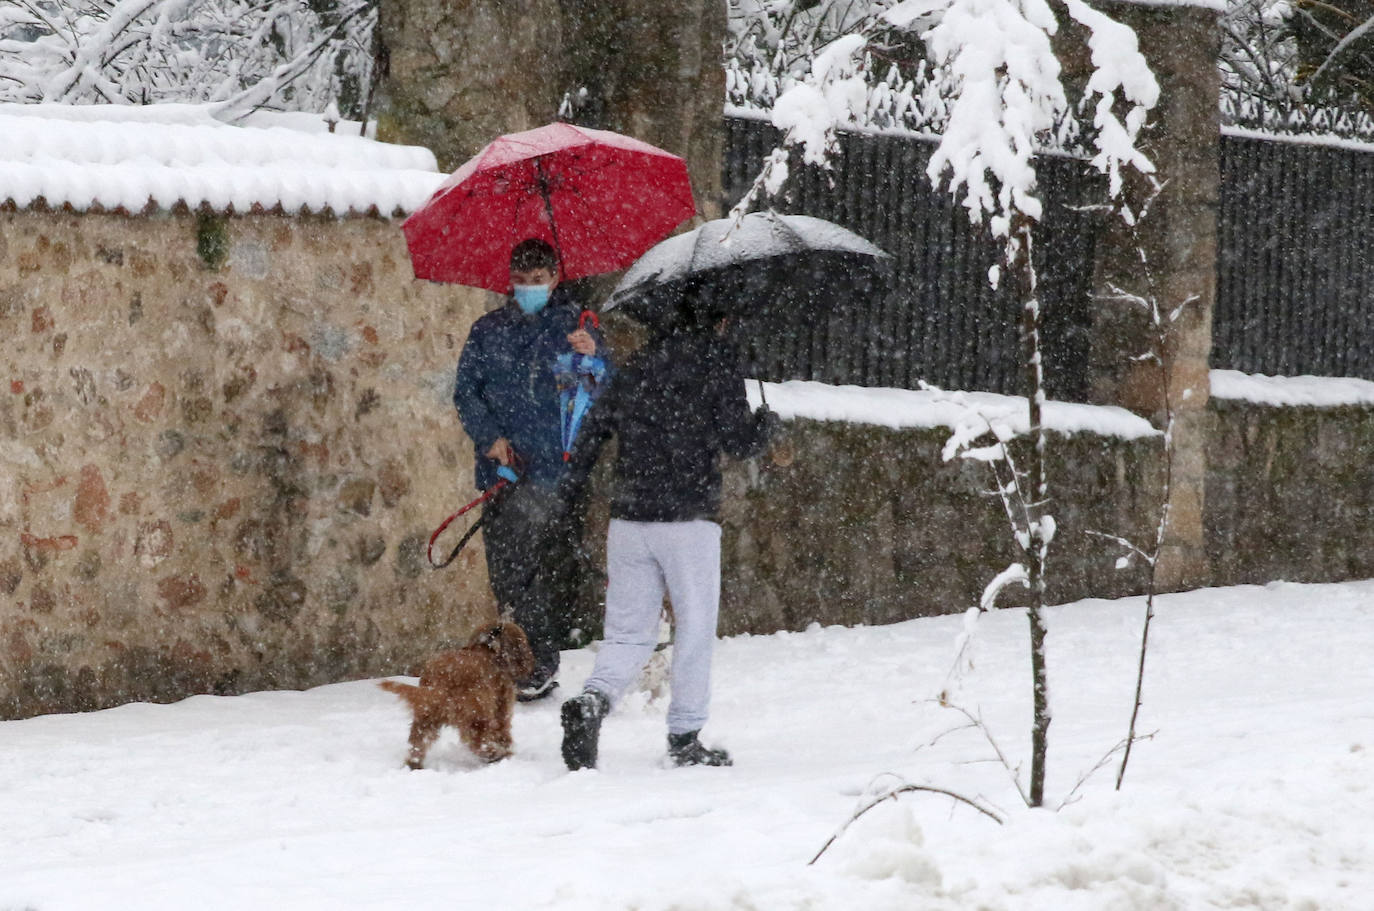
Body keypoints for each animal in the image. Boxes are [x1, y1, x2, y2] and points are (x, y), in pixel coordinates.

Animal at [384, 621, 538, 769]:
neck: (488, 649)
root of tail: (440, 680)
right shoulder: (502, 707)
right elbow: (503, 731)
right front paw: (507, 750)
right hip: (478, 711)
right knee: (477, 742)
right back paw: (494, 755)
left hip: (426, 716)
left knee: (418, 742)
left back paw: (414, 764)